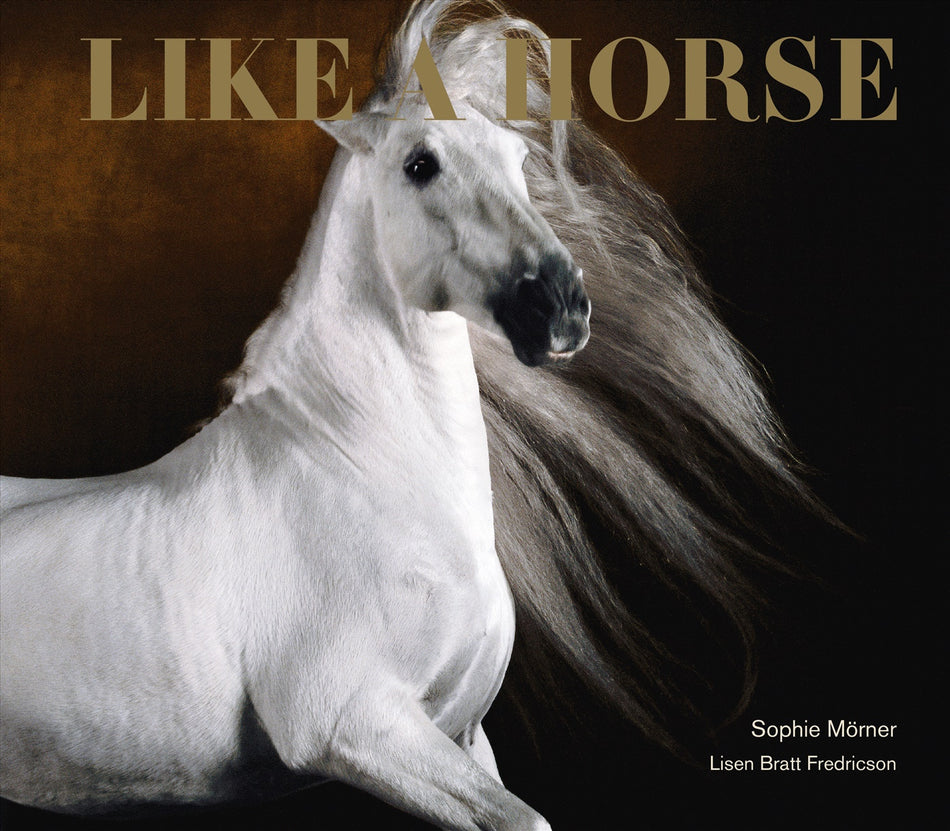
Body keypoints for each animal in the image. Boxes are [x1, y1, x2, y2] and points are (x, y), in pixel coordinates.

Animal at [0, 1, 822, 828]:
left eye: (518, 159)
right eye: (419, 164)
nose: (558, 304)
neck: (361, 471)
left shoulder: (460, 734)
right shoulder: (352, 723)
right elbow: (526, 816)